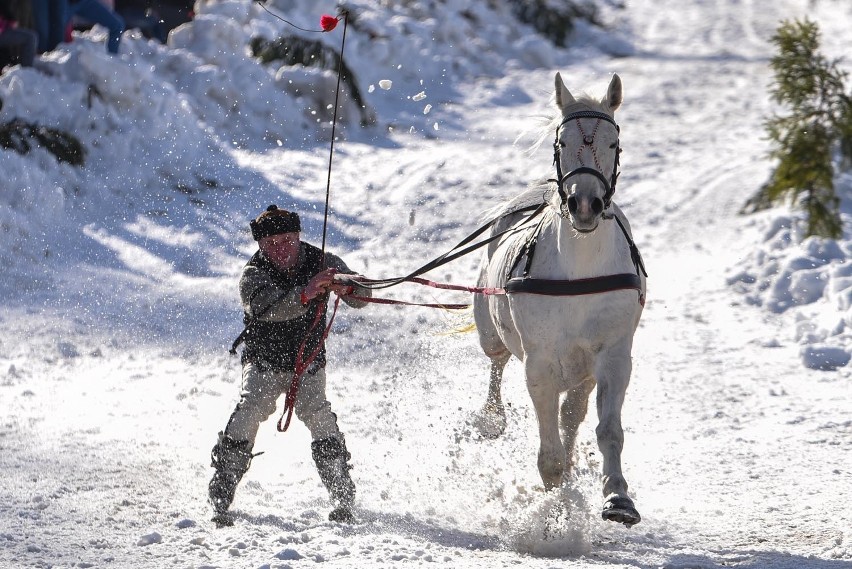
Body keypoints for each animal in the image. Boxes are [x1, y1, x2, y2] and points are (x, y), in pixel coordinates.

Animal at [472, 72, 644, 528]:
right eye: (562, 142)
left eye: (613, 143)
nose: (585, 204)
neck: (579, 274)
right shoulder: (540, 362)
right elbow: (548, 453)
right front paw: (555, 508)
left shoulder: (613, 354)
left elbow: (606, 430)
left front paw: (617, 497)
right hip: (489, 328)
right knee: (496, 361)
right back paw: (491, 417)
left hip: (582, 370)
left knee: (574, 413)